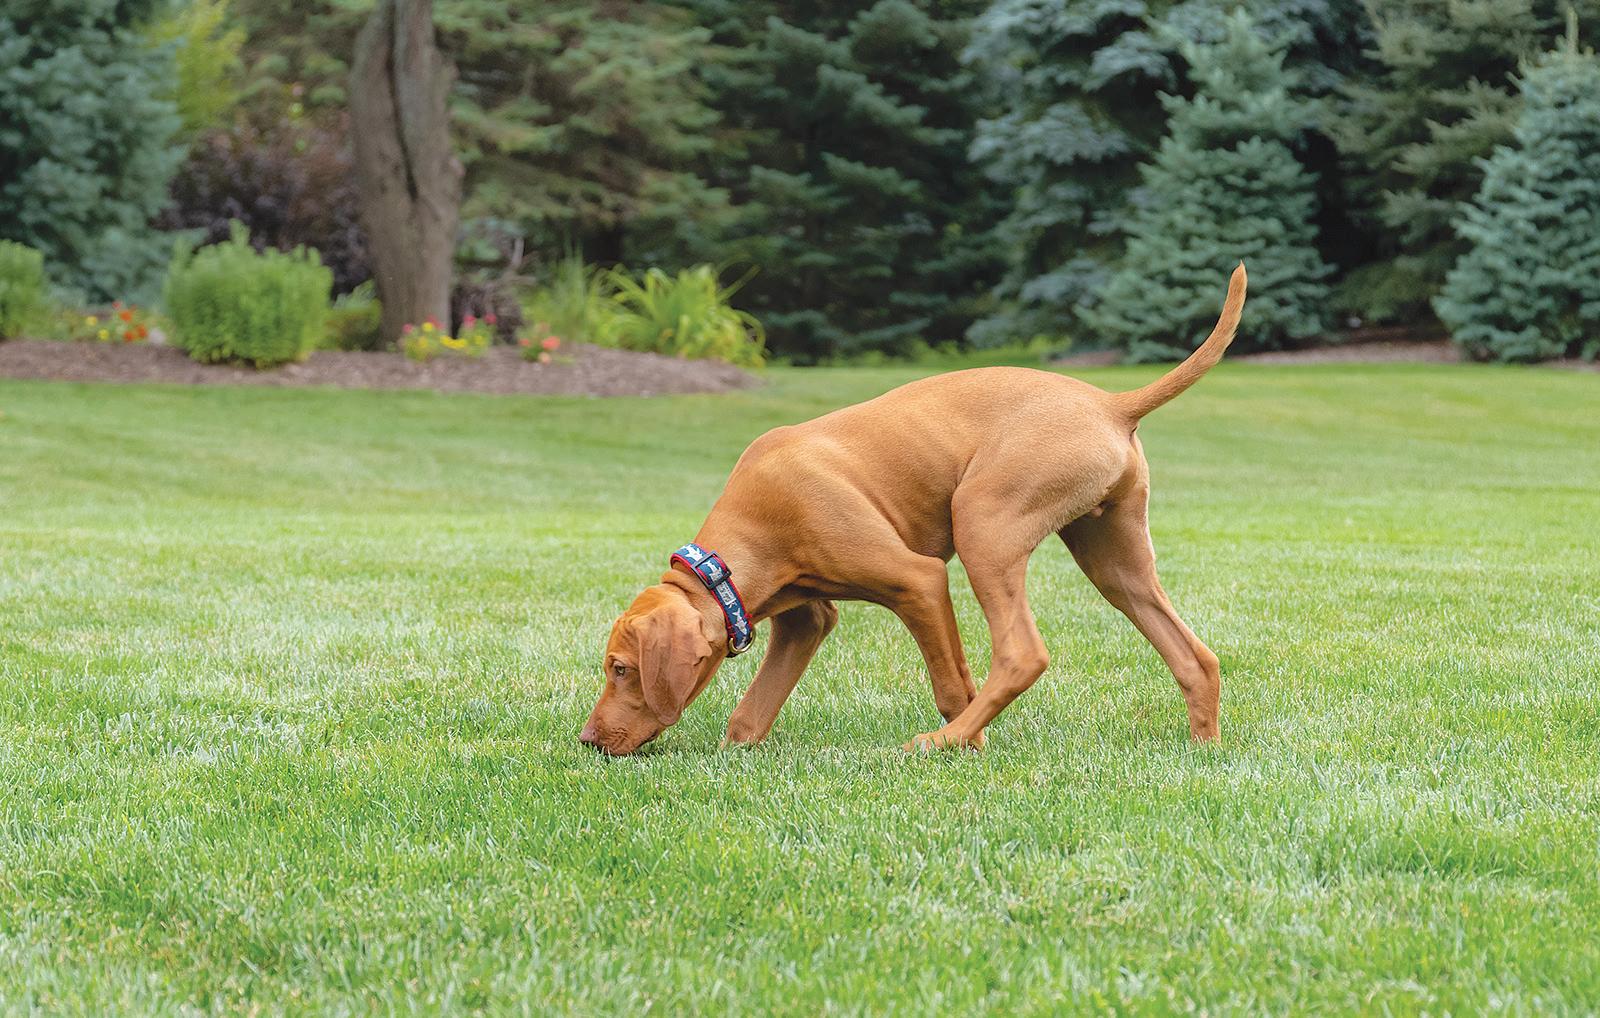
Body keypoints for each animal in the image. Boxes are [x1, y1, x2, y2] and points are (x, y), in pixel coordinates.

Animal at [581, 265, 1246, 756]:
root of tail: (1111, 403)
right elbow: (750, 715)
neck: (736, 552)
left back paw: (939, 743)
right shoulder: (807, 619)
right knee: (1197, 658)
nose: (586, 741)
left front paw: (971, 745)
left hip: (982, 522)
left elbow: (952, 684)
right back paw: (1204, 750)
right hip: (1114, 560)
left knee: (1022, 655)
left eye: (620, 669)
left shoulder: (917, 581)